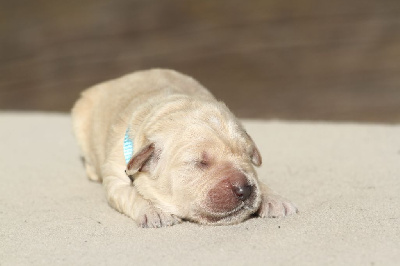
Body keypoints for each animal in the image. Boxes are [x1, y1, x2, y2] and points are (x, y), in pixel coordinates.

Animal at [72, 68, 296, 227]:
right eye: (200, 162)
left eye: (248, 156)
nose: (245, 189)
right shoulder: (115, 176)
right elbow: (130, 194)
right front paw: (155, 211)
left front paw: (272, 198)